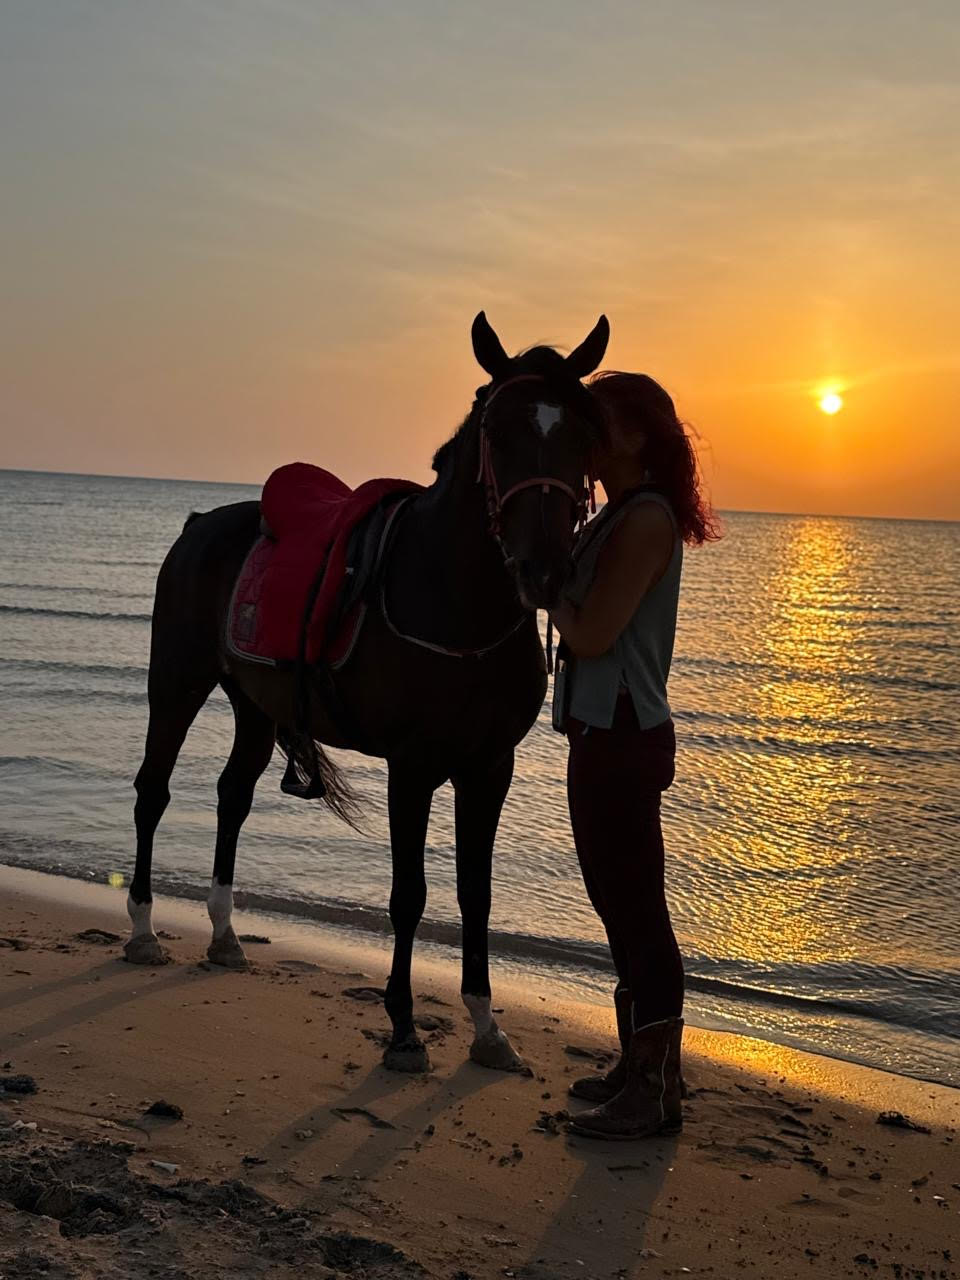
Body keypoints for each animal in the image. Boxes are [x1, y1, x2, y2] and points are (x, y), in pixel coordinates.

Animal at [125, 311, 609, 1074]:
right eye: (497, 432)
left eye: (584, 433)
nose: (544, 570)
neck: (450, 595)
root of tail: (199, 523)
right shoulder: (411, 768)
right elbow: (409, 895)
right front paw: (405, 1028)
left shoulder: (488, 768)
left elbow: (477, 894)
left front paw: (486, 1027)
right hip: (176, 682)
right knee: (153, 790)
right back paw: (142, 929)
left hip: (254, 705)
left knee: (232, 797)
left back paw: (225, 934)